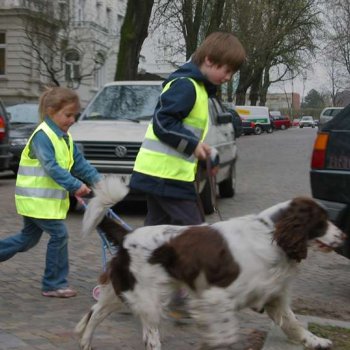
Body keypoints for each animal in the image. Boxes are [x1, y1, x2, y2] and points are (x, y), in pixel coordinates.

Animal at [76, 178, 344, 350]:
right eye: (322, 221)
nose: (343, 237)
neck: (271, 235)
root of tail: (127, 236)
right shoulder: (216, 297)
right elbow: (225, 333)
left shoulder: (273, 296)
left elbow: (294, 324)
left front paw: (316, 341)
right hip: (148, 300)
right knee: (149, 337)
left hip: (123, 291)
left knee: (95, 313)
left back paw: (85, 342)